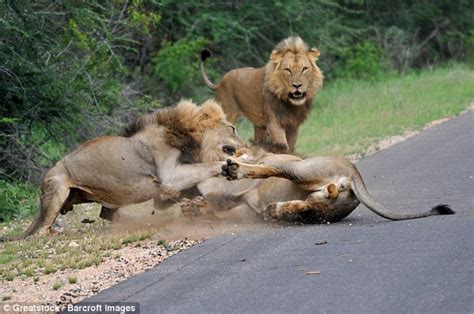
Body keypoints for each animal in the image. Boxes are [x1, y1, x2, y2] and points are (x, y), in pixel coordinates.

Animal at [4, 99, 244, 242]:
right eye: (233, 128)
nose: (245, 146)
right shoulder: (170, 177)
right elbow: (204, 168)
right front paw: (228, 167)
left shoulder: (165, 190)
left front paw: (202, 205)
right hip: (58, 189)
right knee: (40, 232)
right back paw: (56, 232)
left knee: (106, 213)